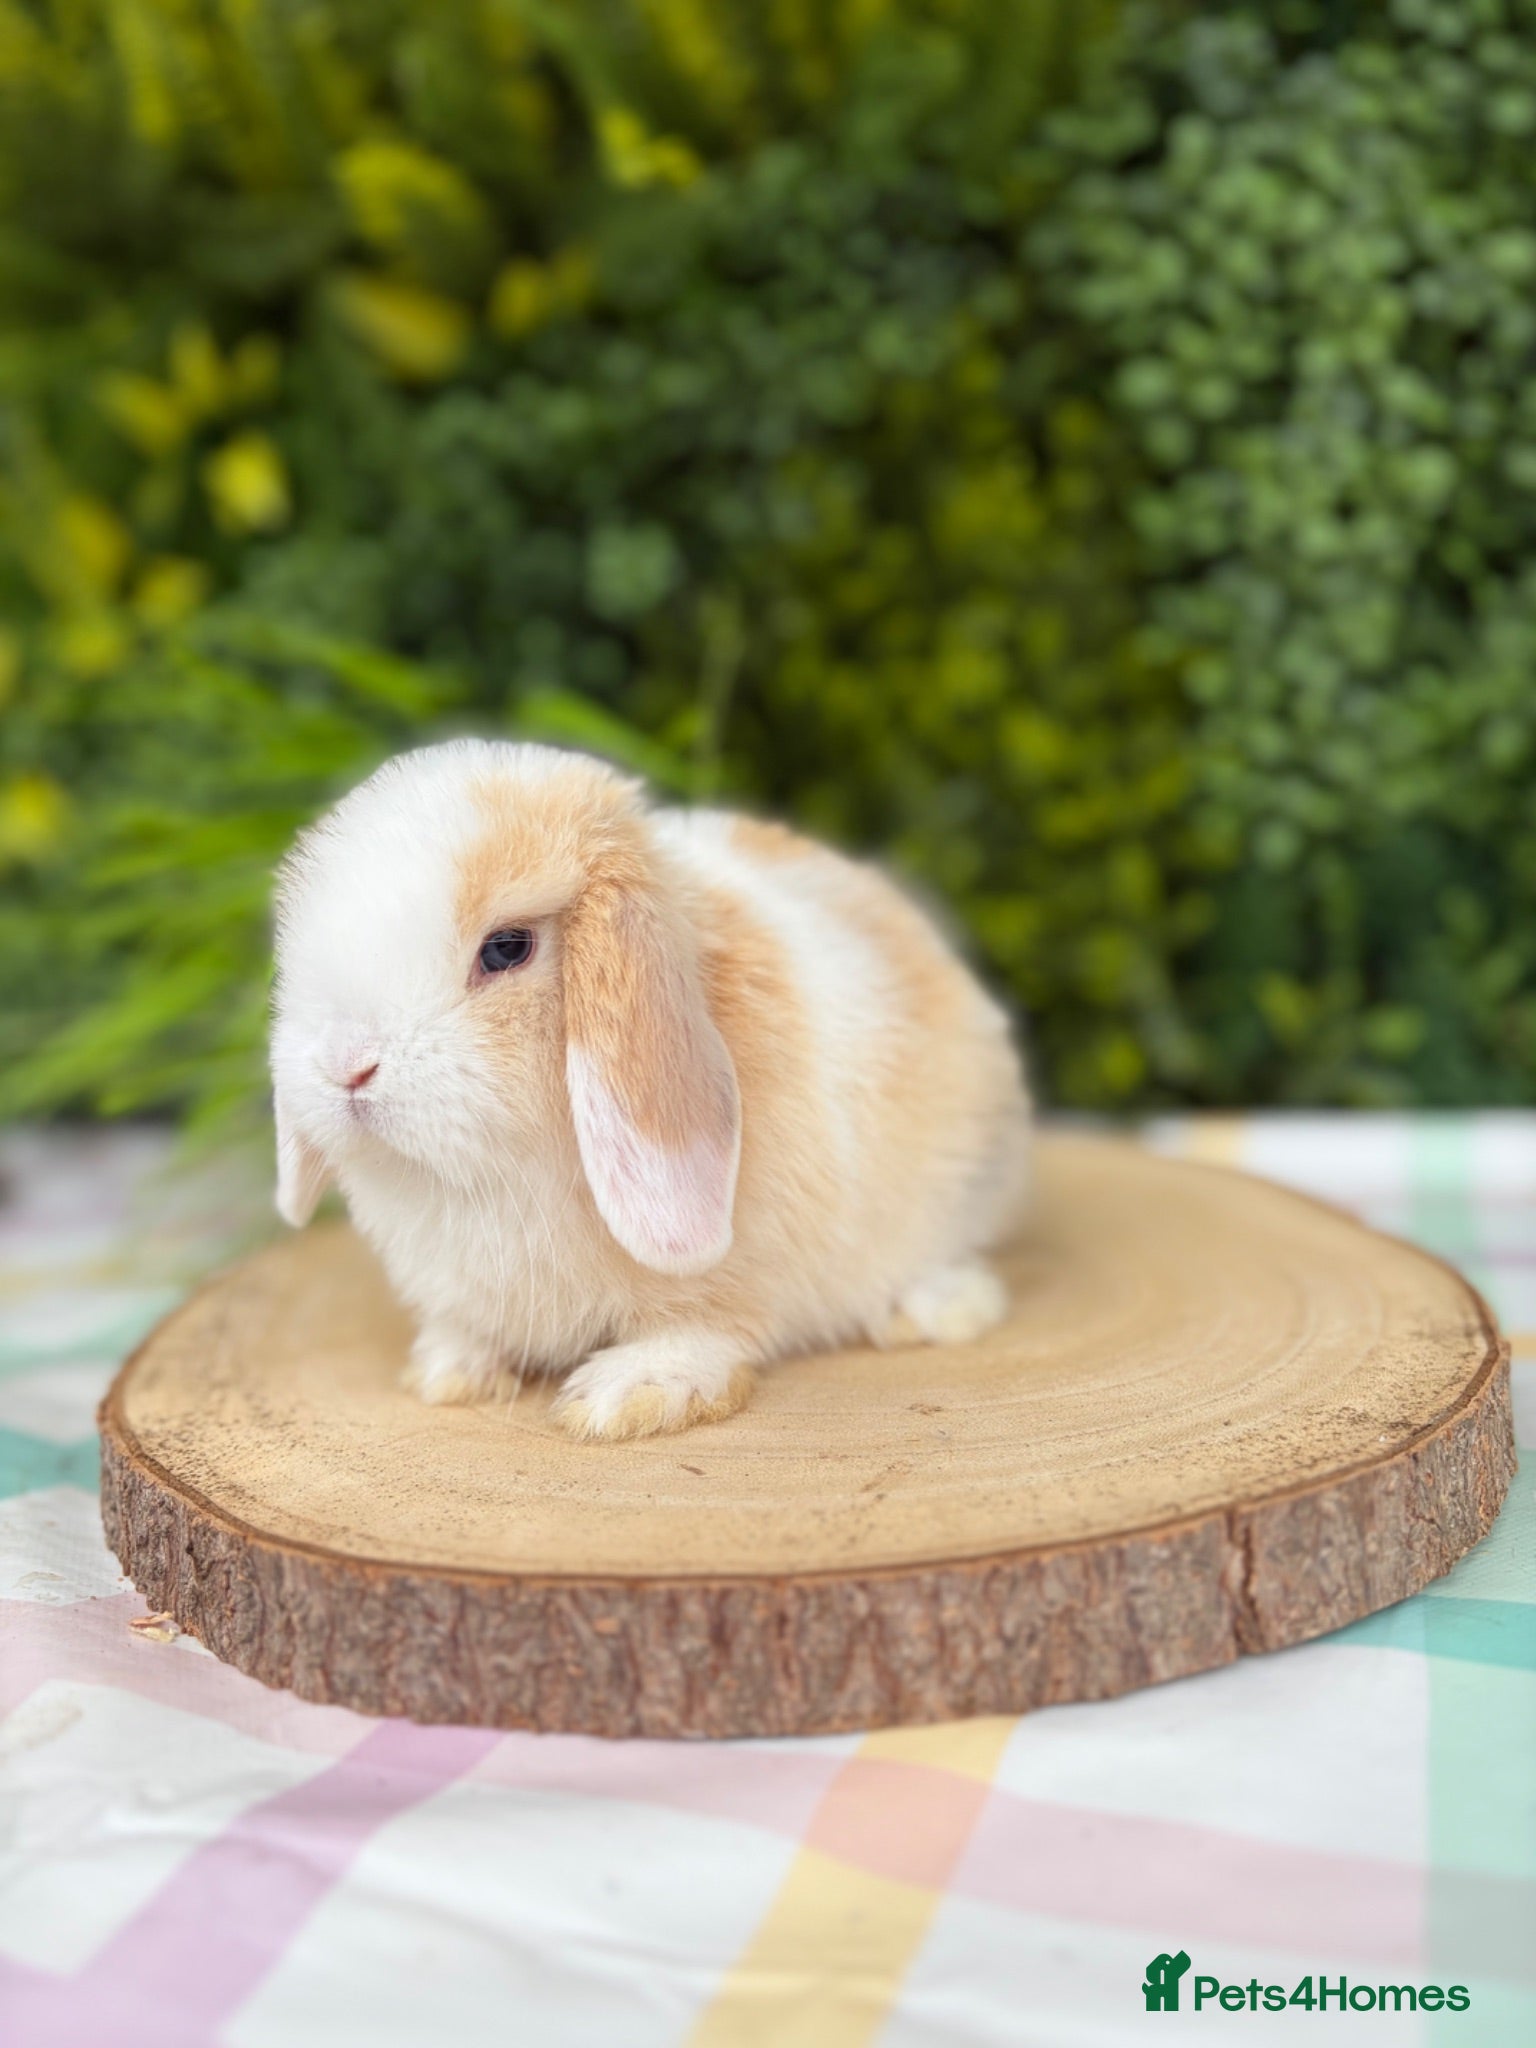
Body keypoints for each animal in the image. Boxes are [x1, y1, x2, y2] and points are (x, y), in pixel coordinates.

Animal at [270, 739, 1031, 1440]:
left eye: (507, 948)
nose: (346, 1066)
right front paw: (448, 1372)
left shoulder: (729, 1278)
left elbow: (704, 1327)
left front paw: (624, 1397)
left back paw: (929, 1309)